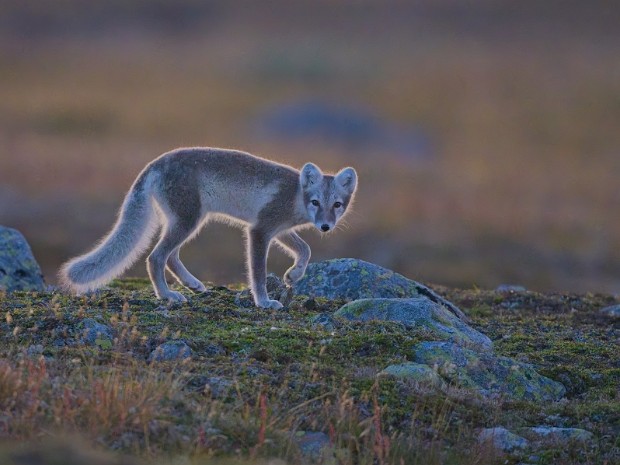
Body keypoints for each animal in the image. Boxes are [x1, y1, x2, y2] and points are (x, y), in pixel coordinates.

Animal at [59, 149, 358, 308]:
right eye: (315, 202)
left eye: (337, 205)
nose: (325, 226)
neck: (295, 195)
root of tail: (155, 163)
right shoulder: (259, 231)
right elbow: (258, 273)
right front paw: (263, 301)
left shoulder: (279, 230)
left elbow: (305, 249)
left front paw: (293, 275)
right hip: (188, 221)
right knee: (155, 257)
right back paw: (167, 295)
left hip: (187, 222)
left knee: (171, 257)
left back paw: (193, 284)